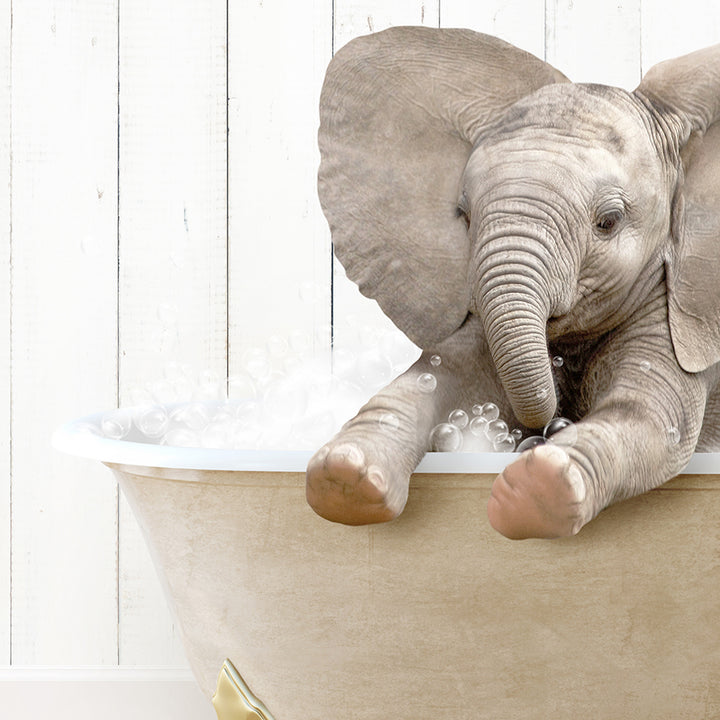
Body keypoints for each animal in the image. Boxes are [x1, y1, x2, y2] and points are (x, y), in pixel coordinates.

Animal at [306, 26, 720, 540]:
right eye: (463, 216)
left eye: (608, 222)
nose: (545, 429)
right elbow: (438, 377)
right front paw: (344, 476)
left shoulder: (684, 310)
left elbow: (650, 418)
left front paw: (538, 488)